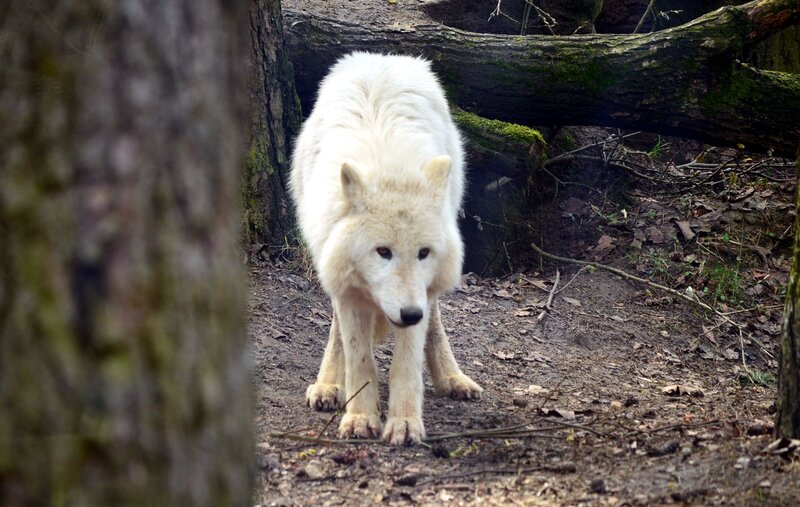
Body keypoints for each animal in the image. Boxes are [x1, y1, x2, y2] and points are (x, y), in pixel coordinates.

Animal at [289, 52, 482, 445]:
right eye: (382, 252)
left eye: (423, 253)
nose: (409, 314)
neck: (390, 169)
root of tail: (383, 57)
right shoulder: (349, 289)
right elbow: (360, 359)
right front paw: (359, 418)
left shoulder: (415, 299)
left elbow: (405, 367)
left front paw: (405, 423)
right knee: (337, 331)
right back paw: (328, 384)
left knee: (435, 319)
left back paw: (452, 377)